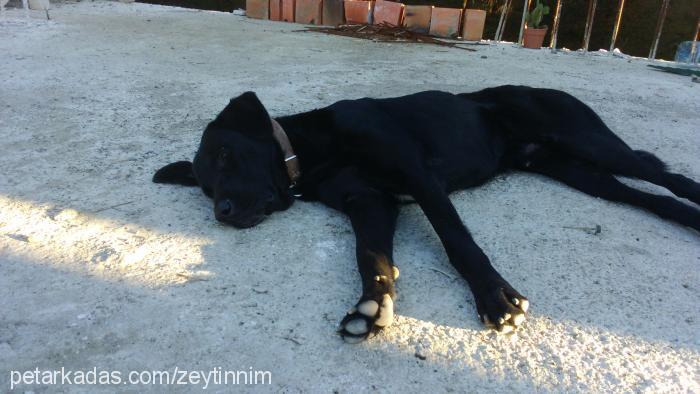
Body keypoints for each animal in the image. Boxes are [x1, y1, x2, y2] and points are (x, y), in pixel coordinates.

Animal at [154, 85, 700, 342]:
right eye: (205, 189)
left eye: (227, 156)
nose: (222, 213)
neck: (311, 154)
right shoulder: (370, 203)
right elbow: (369, 255)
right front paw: (373, 304)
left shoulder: (417, 175)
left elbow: (457, 240)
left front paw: (496, 298)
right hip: (576, 172)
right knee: (651, 198)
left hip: (589, 142)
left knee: (667, 178)